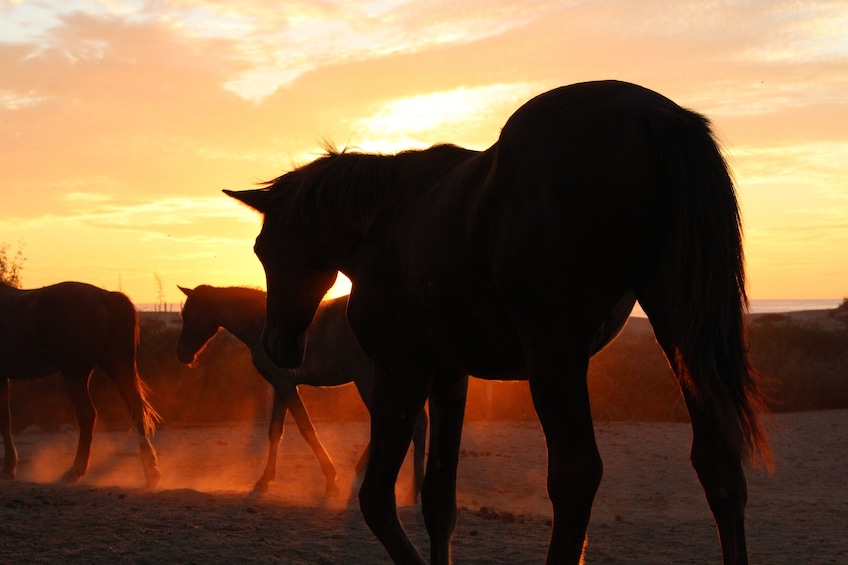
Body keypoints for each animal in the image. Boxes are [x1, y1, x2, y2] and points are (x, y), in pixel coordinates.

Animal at [0, 282, 161, 490]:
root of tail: (105, 296)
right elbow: (6, 418)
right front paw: (9, 468)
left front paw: (7, 469)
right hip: (116, 367)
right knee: (135, 411)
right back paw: (151, 473)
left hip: (75, 374)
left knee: (87, 415)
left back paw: (74, 471)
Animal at [174, 284, 424, 500]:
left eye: (188, 314)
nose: (182, 355)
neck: (262, 325)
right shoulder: (281, 386)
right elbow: (275, 430)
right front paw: (264, 480)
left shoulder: (286, 386)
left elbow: (306, 428)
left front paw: (331, 480)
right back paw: (413, 490)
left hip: (367, 381)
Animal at [224, 80, 768, 564]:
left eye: (263, 249)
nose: (277, 345)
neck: (385, 221)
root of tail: (651, 112)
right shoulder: (449, 375)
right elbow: (438, 502)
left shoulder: (402, 369)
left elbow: (376, 498)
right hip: (677, 334)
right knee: (718, 465)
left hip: (554, 356)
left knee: (575, 475)